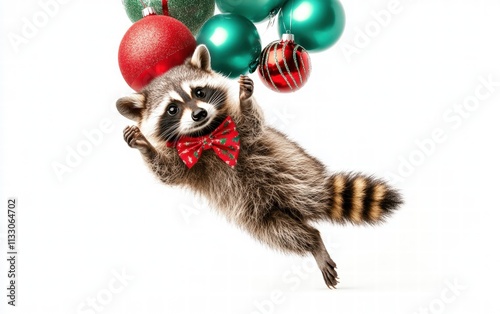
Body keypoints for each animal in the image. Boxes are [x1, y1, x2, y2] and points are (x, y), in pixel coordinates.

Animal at [117, 44, 402, 290]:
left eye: (199, 92)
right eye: (172, 109)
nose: (199, 114)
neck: (206, 137)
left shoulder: (239, 133)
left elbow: (251, 125)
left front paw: (245, 100)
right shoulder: (188, 162)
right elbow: (168, 173)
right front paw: (145, 147)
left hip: (295, 167)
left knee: (309, 198)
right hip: (258, 217)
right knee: (284, 233)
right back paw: (313, 241)